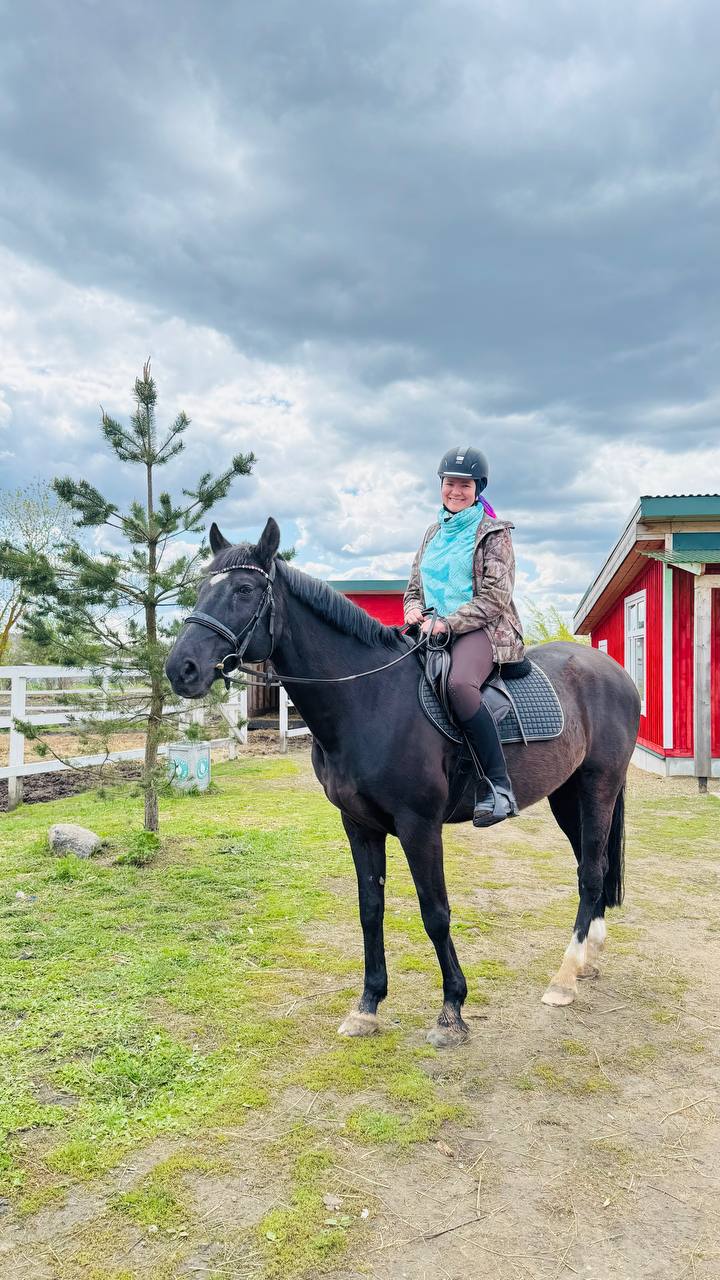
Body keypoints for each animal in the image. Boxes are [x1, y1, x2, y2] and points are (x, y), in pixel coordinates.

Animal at [166, 518, 641, 1048]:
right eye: (201, 589)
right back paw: (586, 959)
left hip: (598, 787)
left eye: (245, 590)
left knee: (591, 872)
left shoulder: (419, 827)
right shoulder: (358, 825)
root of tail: (613, 670)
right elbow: (369, 908)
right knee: (590, 866)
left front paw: (452, 1010)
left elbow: (435, 912)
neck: (368, 698)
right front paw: (368, 1005)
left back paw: (564, 978)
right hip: (567, 794)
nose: (180, 669)